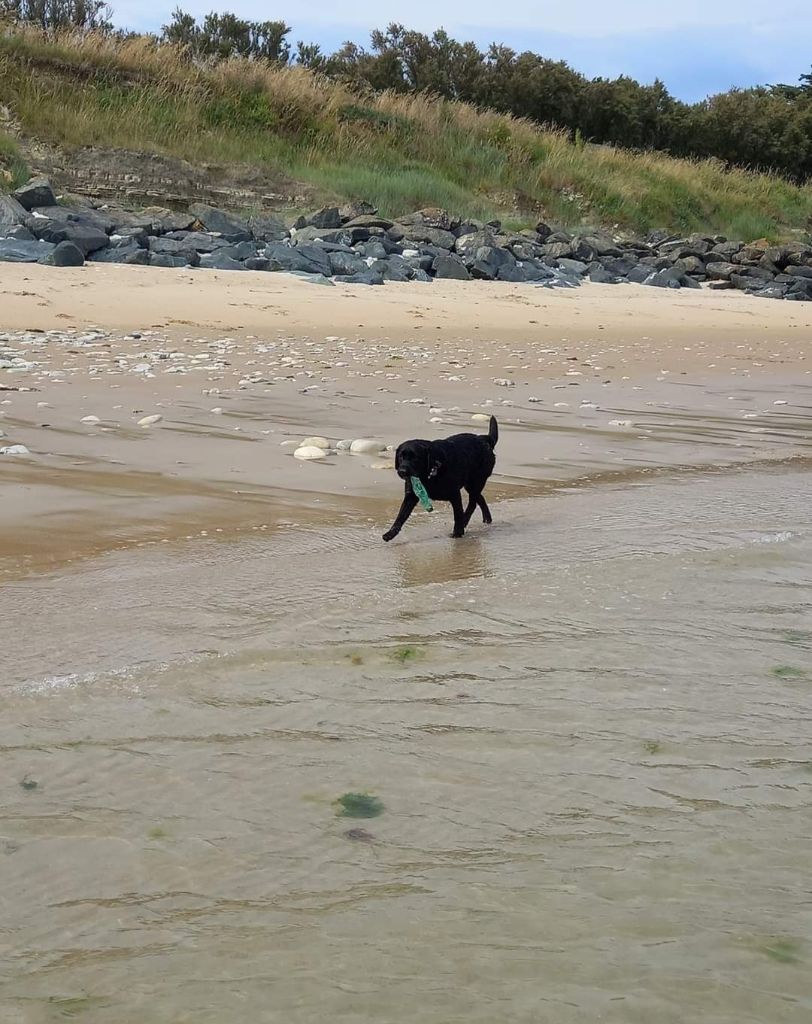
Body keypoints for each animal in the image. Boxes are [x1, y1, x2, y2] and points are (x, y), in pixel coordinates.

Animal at [382, 415, 497, 544]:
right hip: (471, 484)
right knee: (480, 498)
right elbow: (400, 517)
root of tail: (484, 439)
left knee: (472, 503)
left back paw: (465, 522)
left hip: (476, 481)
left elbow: (457, 514)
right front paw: (390, 534)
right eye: (401, 456)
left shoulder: (454, 494)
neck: (430, 473)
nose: (402, 471)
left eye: (415, 458)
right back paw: (487, 519)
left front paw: (457, 533)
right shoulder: (410, 496)